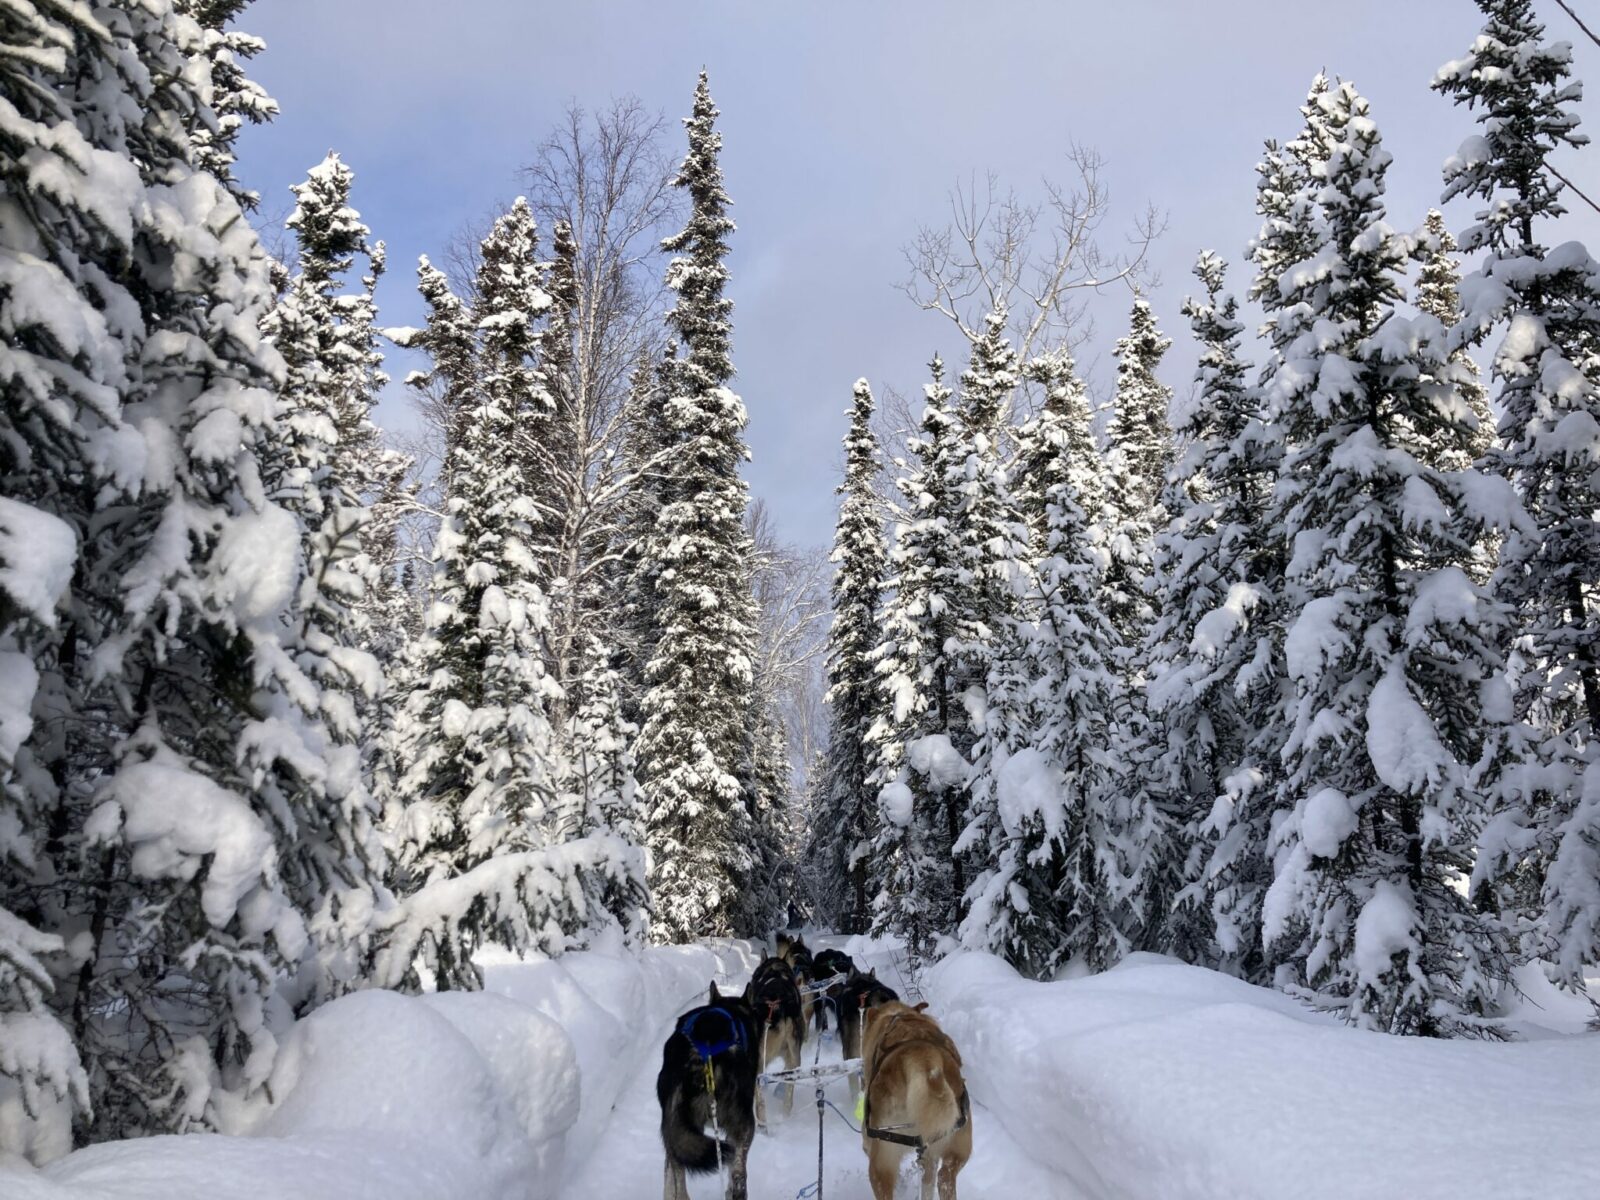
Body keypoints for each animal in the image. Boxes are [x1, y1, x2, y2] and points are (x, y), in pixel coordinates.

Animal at [864, 998, 972, 1200]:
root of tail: (922, 1054)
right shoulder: (929, 1155)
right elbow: (928, 1180)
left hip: (882, 1158)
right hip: (953, 1143)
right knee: (944, 1176)